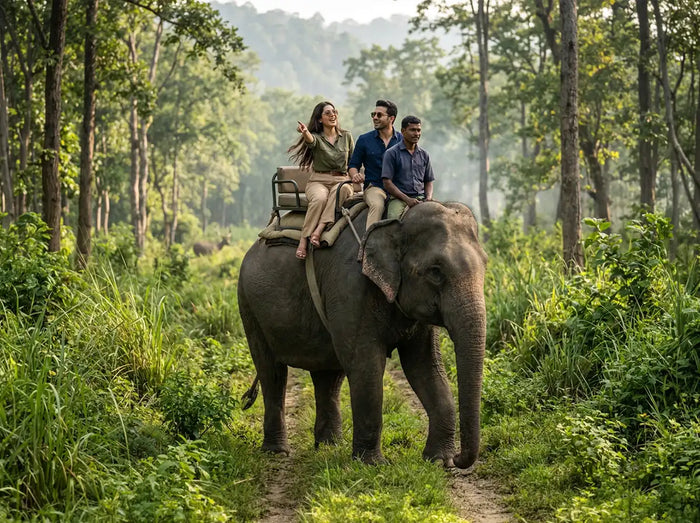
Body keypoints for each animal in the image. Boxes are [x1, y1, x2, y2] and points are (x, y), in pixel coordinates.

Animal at [237, 201, 487, 468]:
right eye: (436, 271)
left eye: (485, 264)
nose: (460, 459)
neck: (397, 219)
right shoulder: (351, 288)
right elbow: (366, 364)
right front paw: (372, 464)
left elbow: (424, 365)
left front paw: (439, 461)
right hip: (249, 306)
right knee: (271, 372)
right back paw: (277, 452)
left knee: (327, 374)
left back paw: (329, 445)